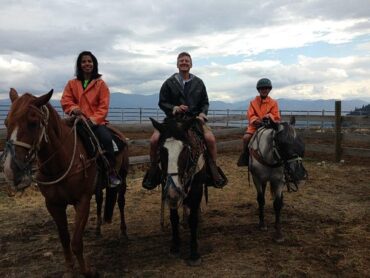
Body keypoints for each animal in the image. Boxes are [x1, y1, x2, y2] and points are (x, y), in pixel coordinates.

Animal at [1, 88, 129, 276]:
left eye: (33, 123)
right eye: (6, 122)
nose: (11, 170)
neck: (60, 162)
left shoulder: (82, 201)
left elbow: (76, 241)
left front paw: (87, 271)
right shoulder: (53, 205)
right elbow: (64, 239)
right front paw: (69, 269)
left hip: (123, 178)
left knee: (120, 202)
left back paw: (124, 232)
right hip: (98, 188)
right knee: (100, 202)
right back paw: (98, 229)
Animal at [151, 116, 208, 266]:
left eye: (185, 150)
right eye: (161, 150)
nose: (174, 191)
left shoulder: (197, 190)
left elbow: (193, 219)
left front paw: (194, 253)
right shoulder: (169, 193)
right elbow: (174, 218)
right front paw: (175, 246)